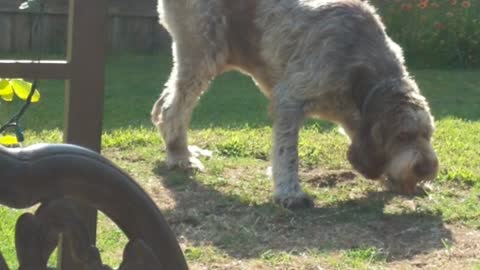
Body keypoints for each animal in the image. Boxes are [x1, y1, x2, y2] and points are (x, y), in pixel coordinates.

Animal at [153, 0, 438, 209]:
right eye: (402, 136)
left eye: (427, 135)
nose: (426, 168)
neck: (360, 67)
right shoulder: (289, 100)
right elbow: (287, 154)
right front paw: (290, 193)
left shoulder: (354, 116)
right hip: (203, 53)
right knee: (172, 110)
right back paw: (180, 156)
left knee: (163, 103)